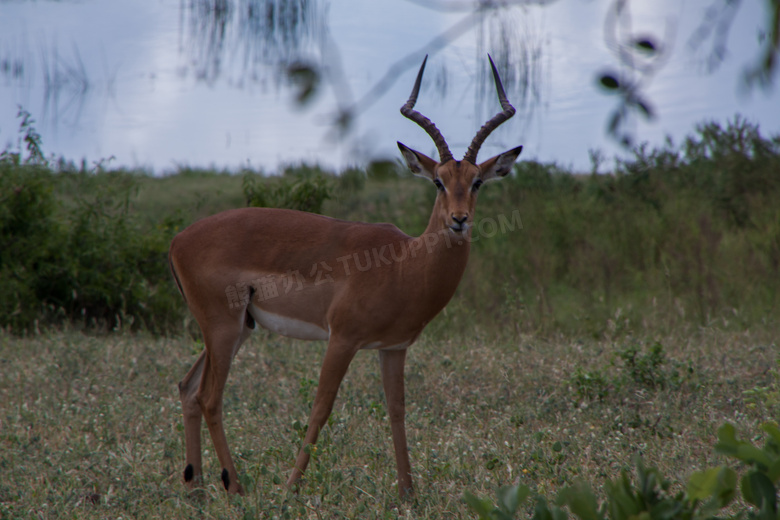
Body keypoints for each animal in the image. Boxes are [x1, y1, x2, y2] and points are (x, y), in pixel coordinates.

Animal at [171, 54, 524, 498]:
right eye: (438, 181)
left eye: (477, 181)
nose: (458, 220)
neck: (404, 265)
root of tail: (177, 241)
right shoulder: (341, 338)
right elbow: (321, 408)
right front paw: (290, 489)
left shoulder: (393, 348)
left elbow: (397, 411)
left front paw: (408, 495)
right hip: (223, 326)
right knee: (210, 397)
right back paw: (234, 487)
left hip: (238, 329)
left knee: (188, 389)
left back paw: (196, 488)